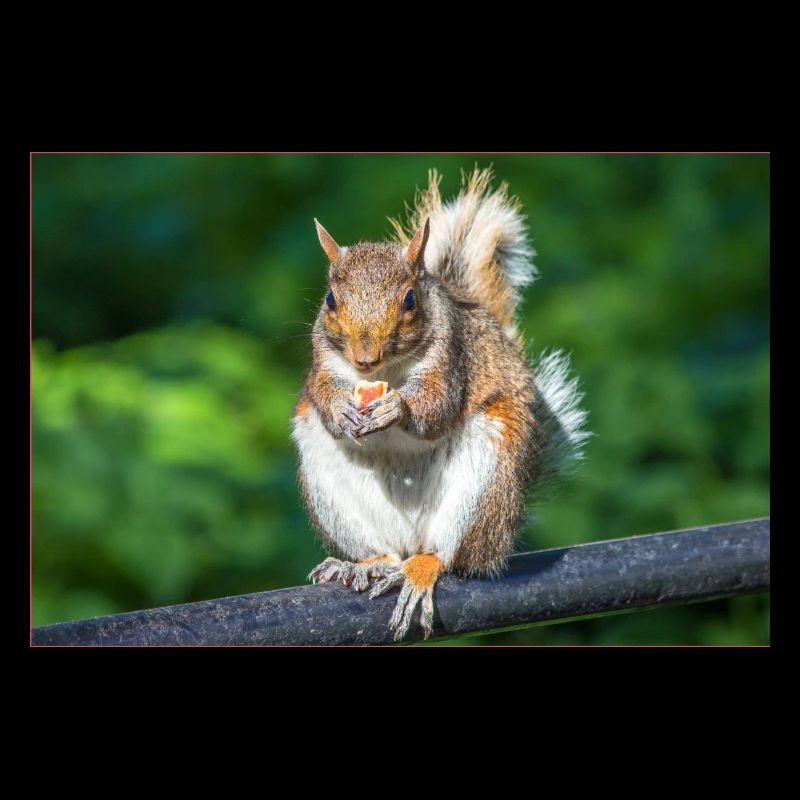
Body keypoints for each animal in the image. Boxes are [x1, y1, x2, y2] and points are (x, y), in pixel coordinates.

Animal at [292, 167, 589, 641]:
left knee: (449, 556)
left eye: (410, 299)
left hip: (485, 479)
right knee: (385, 550)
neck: (387, 371)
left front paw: (398, 409)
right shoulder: (323, 360)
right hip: (328, 480)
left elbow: (436, 406)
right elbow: (322, 394)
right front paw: (340, 409)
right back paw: (366, 564)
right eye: (330, 300)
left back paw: (420, 570)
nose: (364, 358)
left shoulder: (452, 357)